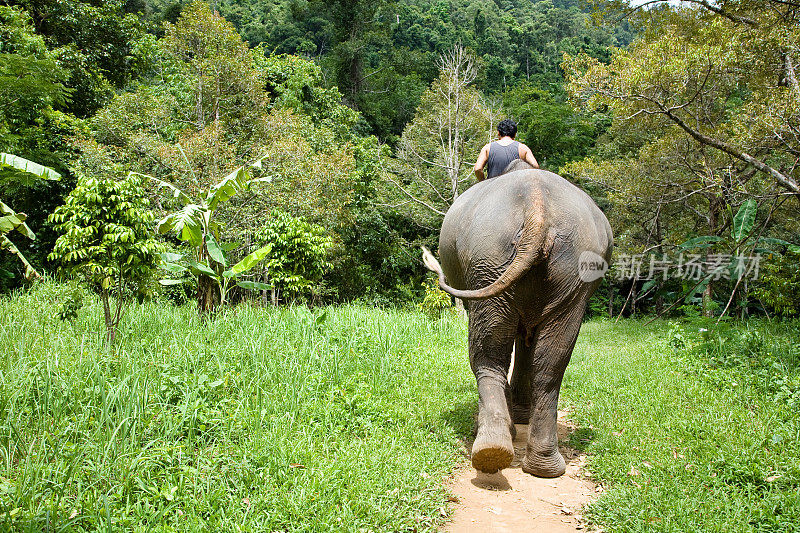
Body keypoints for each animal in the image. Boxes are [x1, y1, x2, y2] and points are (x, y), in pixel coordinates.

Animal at [424, 160, 612, 476]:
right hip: (571, 268)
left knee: (487, 354)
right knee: (551, 362)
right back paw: (541, 466)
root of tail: (538, 207)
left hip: (488, 257)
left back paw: (492, 449)